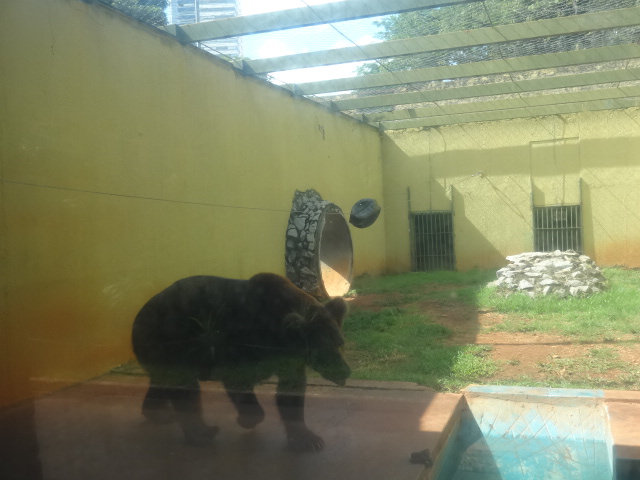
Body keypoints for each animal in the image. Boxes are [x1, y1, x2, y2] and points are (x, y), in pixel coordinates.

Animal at [131, 272, 351, 451]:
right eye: (323, 350)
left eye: (340, 343)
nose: (345, 371)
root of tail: (138, 318)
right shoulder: (239, 341)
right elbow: (239, 380)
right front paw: (246, 419)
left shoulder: (289, 360)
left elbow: (291, 392)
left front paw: (308, 439)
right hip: (170, 340)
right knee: (185, 389)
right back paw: (202, 432)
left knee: (163, 383)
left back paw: (159, 413)